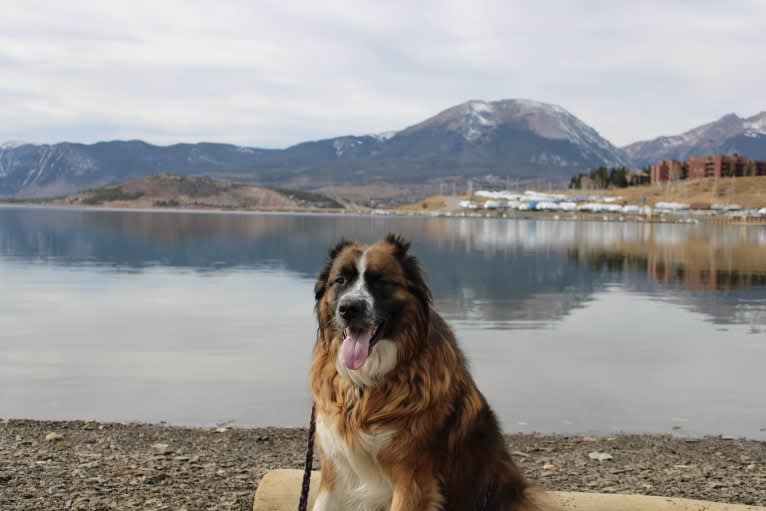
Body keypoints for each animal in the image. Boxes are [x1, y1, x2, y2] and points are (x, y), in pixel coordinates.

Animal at [308, 236, 548, 511]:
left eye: (381, 281)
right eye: (340, 280)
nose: (349, 308)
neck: (365, 384)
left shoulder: (412, 478)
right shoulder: (334, 470)